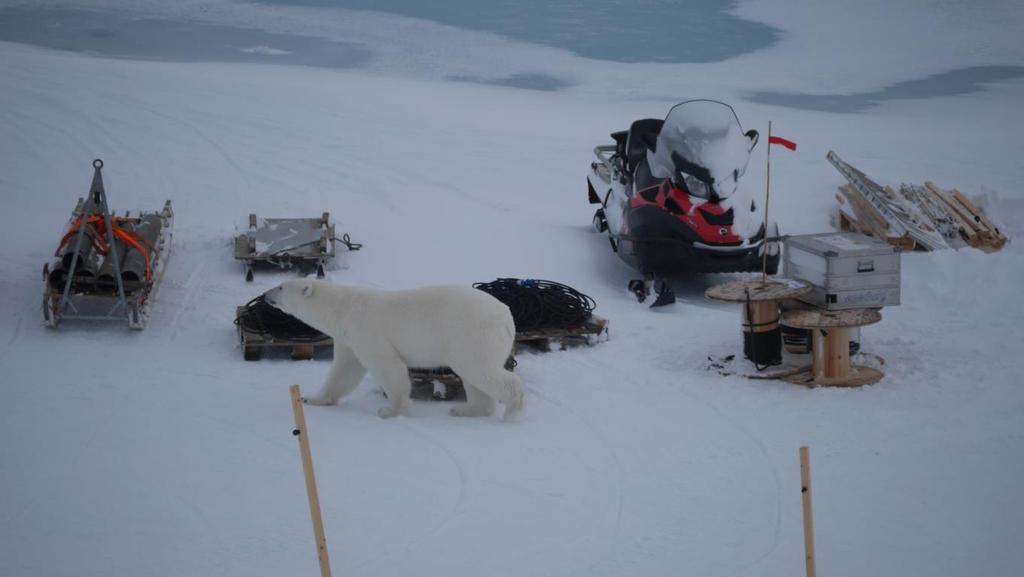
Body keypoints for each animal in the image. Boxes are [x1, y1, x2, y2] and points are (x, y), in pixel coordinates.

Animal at [264, 278, 524, 420]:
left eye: (281, 287)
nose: (265, 295)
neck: (342, 308)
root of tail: (507, 316)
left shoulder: (366, 329)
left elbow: (388, 367)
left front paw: (391, 410)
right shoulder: (348, 338)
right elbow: (345, 369)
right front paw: (312, 398)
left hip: (472, 334)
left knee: (481, 370)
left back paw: (513, 411)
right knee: (474, 377)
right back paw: (465, 410)